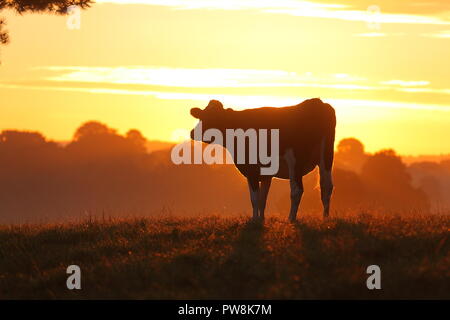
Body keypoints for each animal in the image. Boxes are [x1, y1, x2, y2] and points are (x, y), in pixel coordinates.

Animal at [189, 98, 334, 222]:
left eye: (212, 116)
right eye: (201, 116)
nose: (192, 133)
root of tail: (317, 103)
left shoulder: (251, 169)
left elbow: (254, 198)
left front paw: (254, 220)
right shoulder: (265, 174)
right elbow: (262, 199)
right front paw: (261, 219)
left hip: (295, 161)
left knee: (297, 190)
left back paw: (291, 219)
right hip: (326, 158)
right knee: (326, 187)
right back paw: (325, 218)